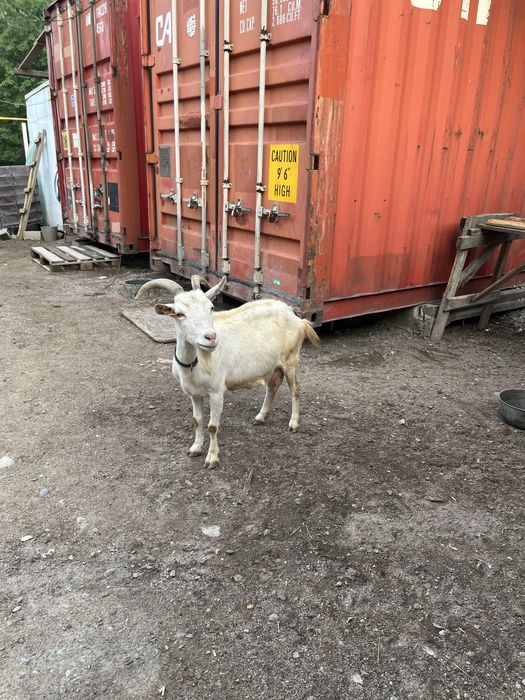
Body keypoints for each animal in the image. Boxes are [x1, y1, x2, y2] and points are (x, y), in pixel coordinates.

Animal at [135, 276, 320, 468]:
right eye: (179, 314)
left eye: (211, 307)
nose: (210, 337)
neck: (193, 363)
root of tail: (297, 318)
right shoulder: (194, 394)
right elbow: (197, 421)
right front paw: (195, 448)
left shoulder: (216, 391)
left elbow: (212, 426)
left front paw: (212, 459)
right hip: (271, 365)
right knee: (272, 387)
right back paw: (260, 417)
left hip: (290, 359)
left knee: (295, 389)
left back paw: (293, 423)